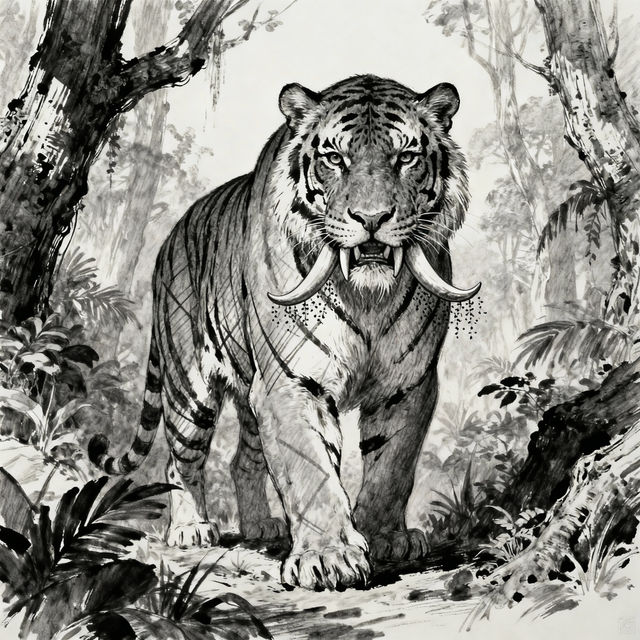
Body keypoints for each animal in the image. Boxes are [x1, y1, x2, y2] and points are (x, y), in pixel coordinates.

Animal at [89, 74, 480, 591]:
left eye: (406, 157)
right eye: (335, 158)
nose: (372, 219)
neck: (368, 297)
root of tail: (171, 235)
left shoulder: (408, 385)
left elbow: (392, 468)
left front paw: (386, 538)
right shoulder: (291, 383)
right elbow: (310, 470)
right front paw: (328, 557)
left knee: (242, 459)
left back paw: (260, 525)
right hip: (188, 387)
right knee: (181, 458)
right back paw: (191, 528)